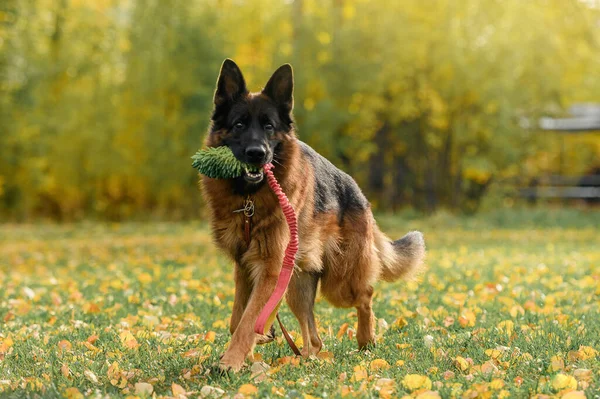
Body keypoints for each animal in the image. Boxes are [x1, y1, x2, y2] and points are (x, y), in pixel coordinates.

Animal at [202, 59, 426, 372]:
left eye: (269, 126)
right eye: (239, 125)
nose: (257, 153)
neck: (249, 201)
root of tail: (359, 194)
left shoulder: (269, 270)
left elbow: (247, 321)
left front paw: (231, 362)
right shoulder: (245, 268)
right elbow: (238, 319)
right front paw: (250, 350)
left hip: (339, 283)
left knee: (366, 295)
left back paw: (366, 341)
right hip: (296, 286)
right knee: (315, 337)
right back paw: (305, 360)